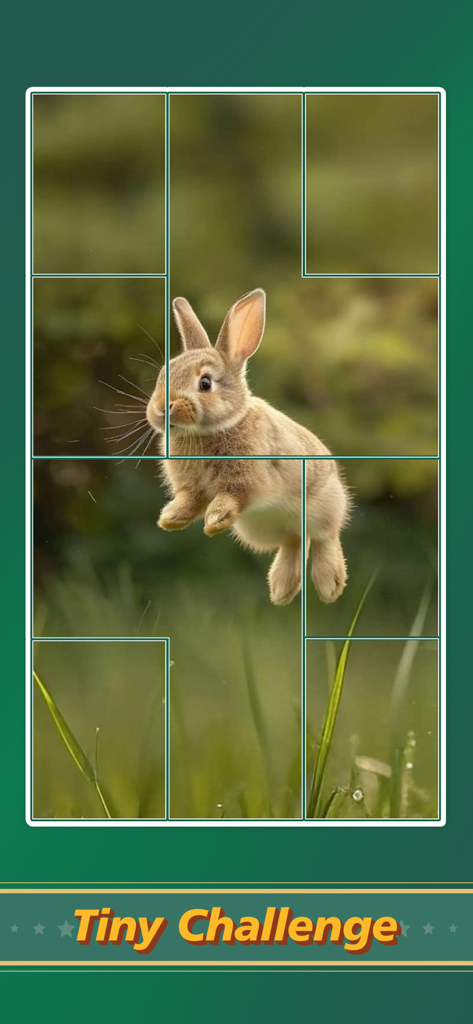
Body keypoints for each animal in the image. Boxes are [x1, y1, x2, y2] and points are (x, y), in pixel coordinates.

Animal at [146, 288, 350, 606]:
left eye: (205, 383)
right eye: (162, 375)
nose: (160, 409)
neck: (210, 430)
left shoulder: (245, 480)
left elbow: (232, 497)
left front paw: (215, 520)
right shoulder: (190, 487)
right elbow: (190, 500)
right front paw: (170, 518)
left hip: (324, 507)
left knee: (324, 537)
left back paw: (329, 585)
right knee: (293, 542)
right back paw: (281, 589)